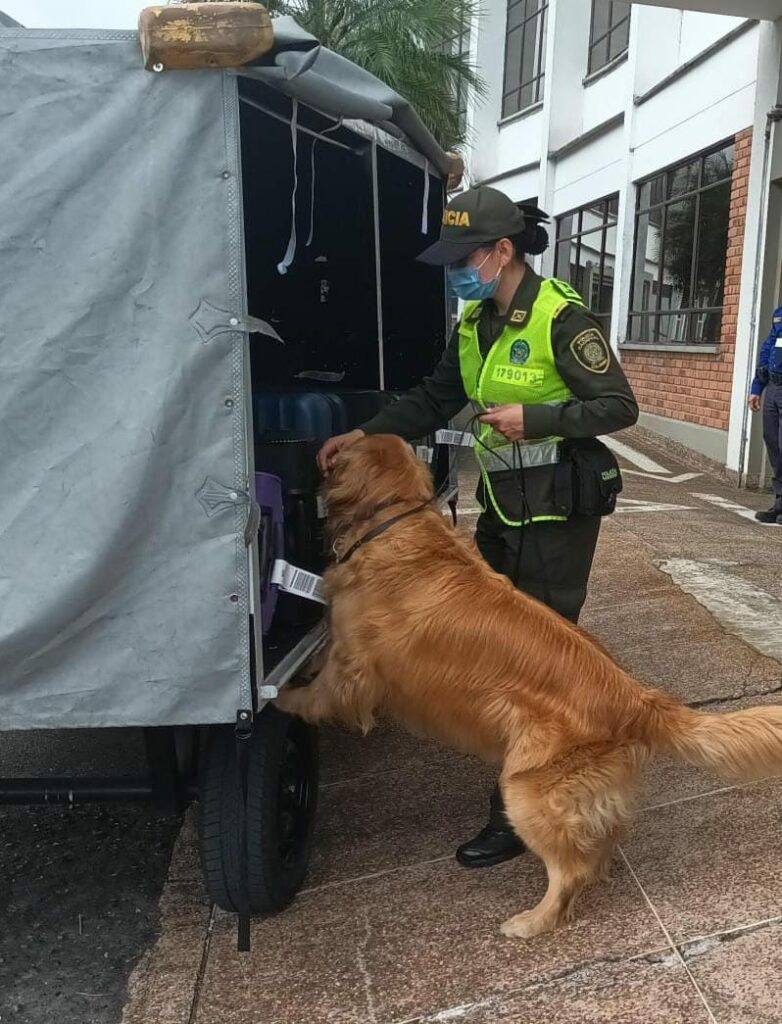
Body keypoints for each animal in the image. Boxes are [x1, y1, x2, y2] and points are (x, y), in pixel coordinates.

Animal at [274, 432, 781, 937]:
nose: (320, 452)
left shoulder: (351, 662)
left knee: (570, 870)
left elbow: (320, 690)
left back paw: (533, 921)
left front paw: (282, 699)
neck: (394, 517)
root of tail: (637, 698)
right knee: (598, 845)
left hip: (527, 789)